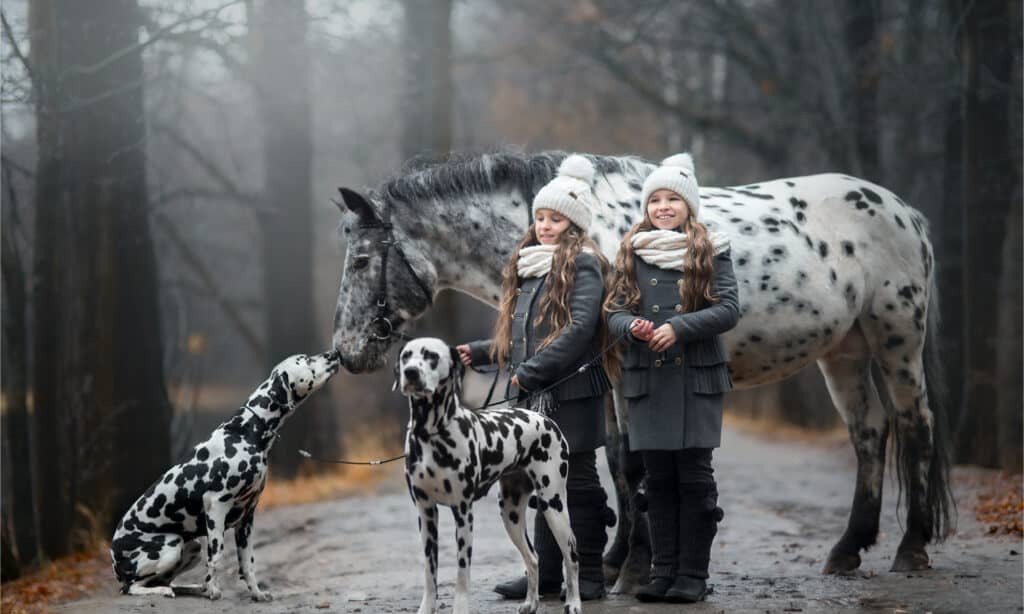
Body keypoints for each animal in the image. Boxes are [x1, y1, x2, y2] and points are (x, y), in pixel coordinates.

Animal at [109, 349, 339, 597]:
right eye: (305, 360)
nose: (333, 352)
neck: (245, 431)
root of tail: (114, 558)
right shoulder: (216, 505)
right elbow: (216, 555)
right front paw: (213, 590)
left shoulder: (247, 518)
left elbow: (248, 563)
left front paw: (256, 594)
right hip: (170, 546)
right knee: (131, 587)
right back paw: (169, 590)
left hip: (191, 547)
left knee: (164, 581)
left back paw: (191, 588)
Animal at [395, 337, 581, 614]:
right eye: (406, 356)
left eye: (432, 356)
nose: (410, 373)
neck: (432, 432)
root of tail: (543, 418)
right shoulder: (426, 513)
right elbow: (430, 574)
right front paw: (426, 608)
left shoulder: (463, 514)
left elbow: (462, 574)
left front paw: (460, 609)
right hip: (511, 513)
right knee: (533, 557)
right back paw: (530, 603)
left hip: (554, 505)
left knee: (571, 555)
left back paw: (574, 602)